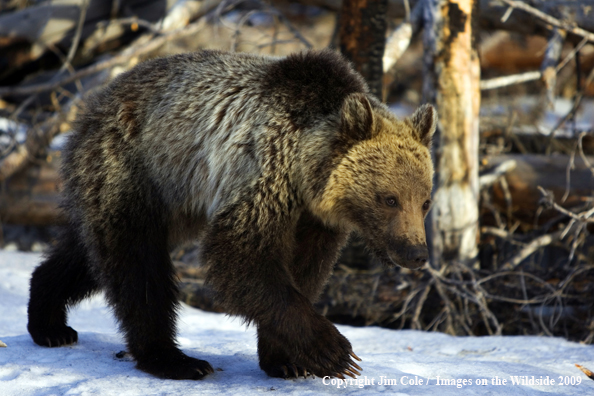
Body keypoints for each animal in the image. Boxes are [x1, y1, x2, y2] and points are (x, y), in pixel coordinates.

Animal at [27, 48, 434, 380]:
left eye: (425, 201)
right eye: (390, 199)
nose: (416, 253)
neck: (306, 174)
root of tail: (92, 105)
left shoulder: (316, 219)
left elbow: (304, 269)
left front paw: (287, 359)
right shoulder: (263, 175)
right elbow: (241, 256)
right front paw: (334, 351)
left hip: (171, 202)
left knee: (90, 254)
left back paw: (48, 320)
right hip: (135, 168)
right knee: (137, 265)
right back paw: (174, 359)